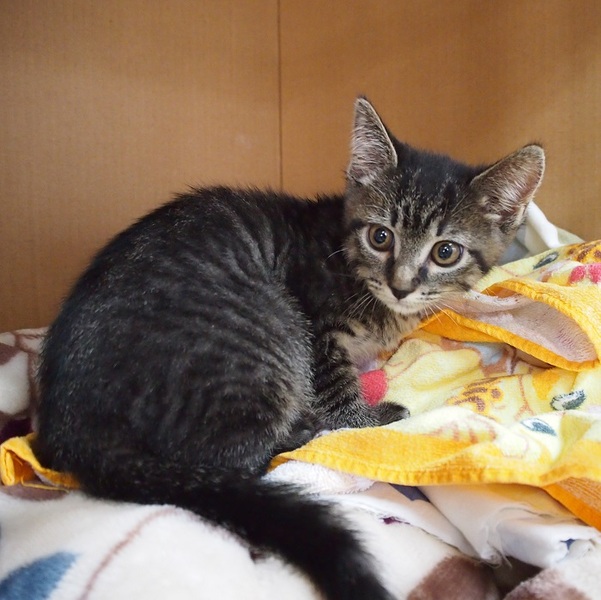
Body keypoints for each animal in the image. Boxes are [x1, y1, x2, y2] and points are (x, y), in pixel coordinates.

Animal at [34, 97, 545, 599]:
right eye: (380, 236)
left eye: (445, 252)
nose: (401, 286)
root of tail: (70, 425)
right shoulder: (316, 328)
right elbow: (337, 391)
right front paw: (363, 421)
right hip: (267, 330)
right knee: (234, 458)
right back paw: (306, 431)